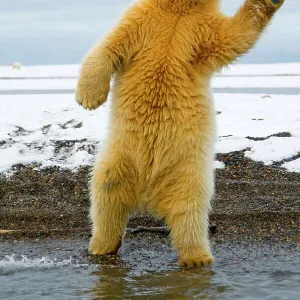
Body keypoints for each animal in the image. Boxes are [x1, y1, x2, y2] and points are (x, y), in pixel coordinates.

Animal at [76, 0, 284, 268]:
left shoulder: (200, 29)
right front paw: (89, 99)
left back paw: (197, 258)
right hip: (119, 158)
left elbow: (234, 36)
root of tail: (148, 194)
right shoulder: (140, 19)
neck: (179, 8)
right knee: (106, 194)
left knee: (189, 212)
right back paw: (102, 247)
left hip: (187, 171)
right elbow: (108, 47)